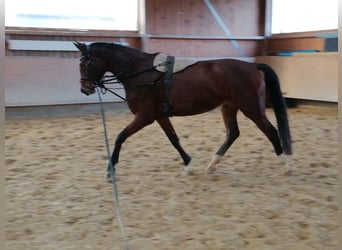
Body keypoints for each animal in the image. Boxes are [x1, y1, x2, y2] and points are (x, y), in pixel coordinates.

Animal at [74, 41, 292, 178]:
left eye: (86, 63)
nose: (84, 89)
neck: (141, 73)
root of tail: (254, 66)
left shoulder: (145, 116)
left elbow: (120, 137)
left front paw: (110, 170)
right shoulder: (160, 116)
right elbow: (174, 139)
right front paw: (188, 165)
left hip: (252, 109)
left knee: (271, 132)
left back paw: (285, 165)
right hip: (229, 107)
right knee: (233, 133)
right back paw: (212, 165)